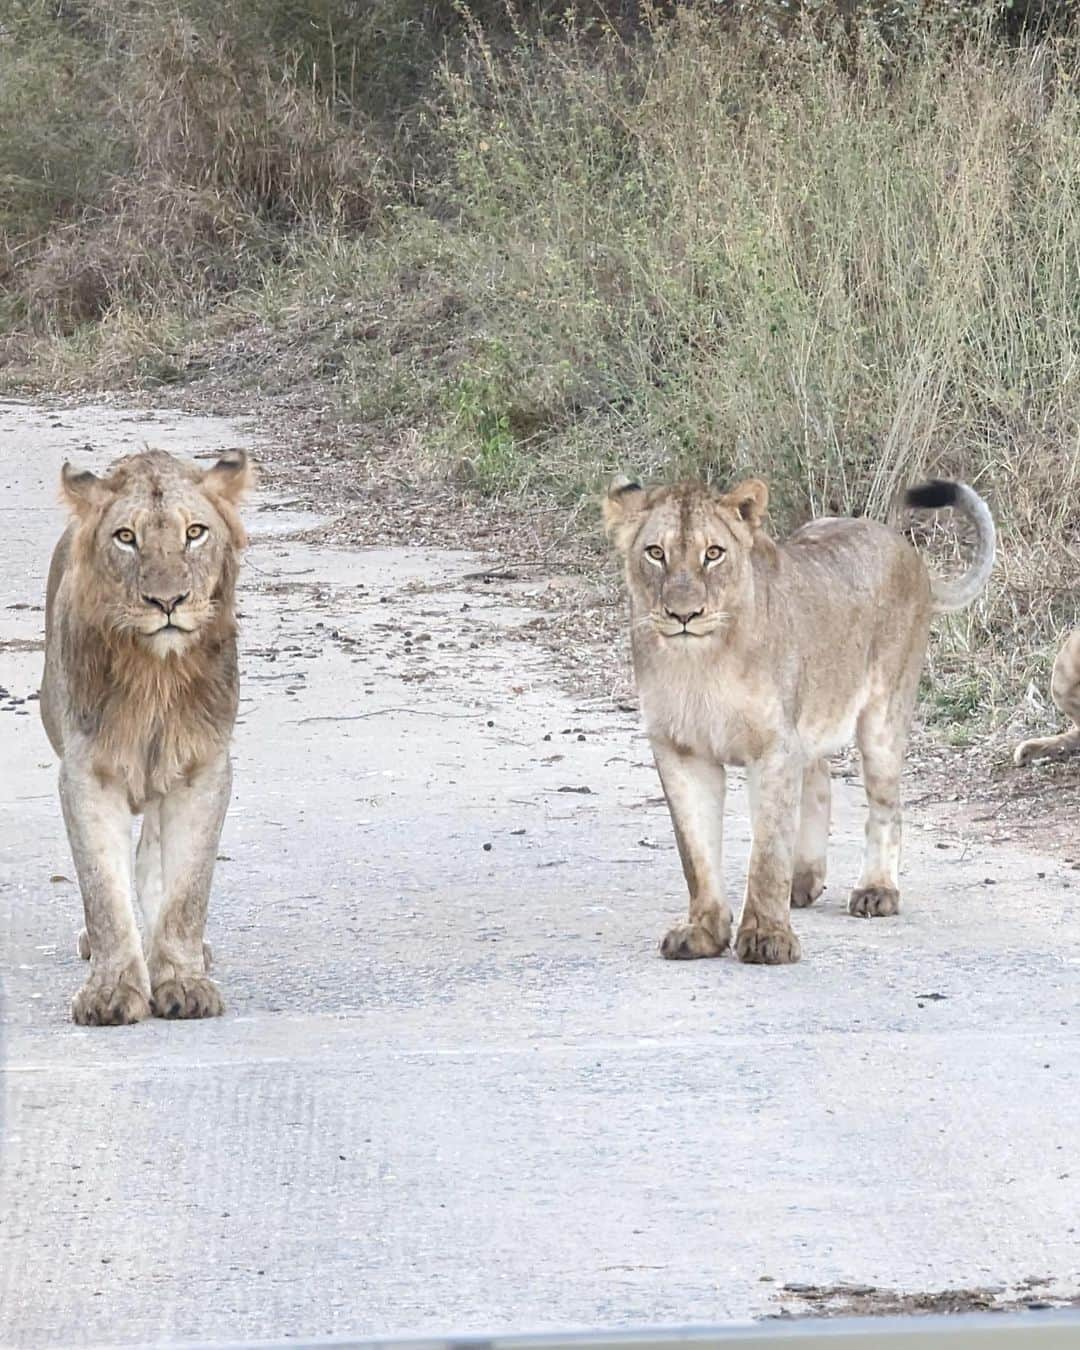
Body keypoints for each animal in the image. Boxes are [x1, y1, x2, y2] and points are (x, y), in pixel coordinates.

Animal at [42, 448, 253, 1026]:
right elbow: (102, 889)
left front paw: (182, 980)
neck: (155, 674)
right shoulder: (85, 772)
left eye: (195, 532)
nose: (167, 601)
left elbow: (187, 889)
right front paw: (111, 992)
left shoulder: (204, 768)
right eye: (126, 537)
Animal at [602, 472, 993, 961]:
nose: (684, 614)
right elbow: (696, 852)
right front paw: (703, 931)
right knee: (820, 778)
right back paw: (803, 879)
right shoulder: (680, 750)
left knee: (886, 805)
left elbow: (768, 852)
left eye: (714, 553)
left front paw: (767, 937)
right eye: (656, 553)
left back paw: (876, 890)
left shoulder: (772, 747)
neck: (701, 662)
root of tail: (907, 551)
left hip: (883, 717)